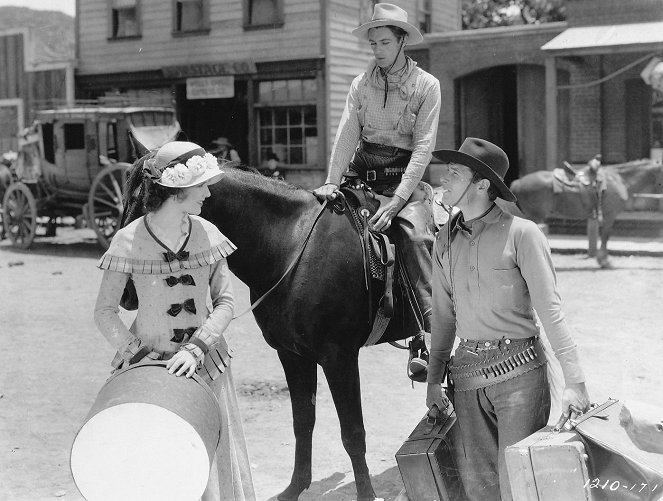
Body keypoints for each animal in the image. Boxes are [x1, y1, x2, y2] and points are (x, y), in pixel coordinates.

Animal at [122, 164, 418, 500]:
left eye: (149, 205)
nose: (127, 293)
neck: (291, 247)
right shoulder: (292, 354)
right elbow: (303, 422)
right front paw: (295, 487)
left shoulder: (338, 357)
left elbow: (353, 432)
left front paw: (366, 494)